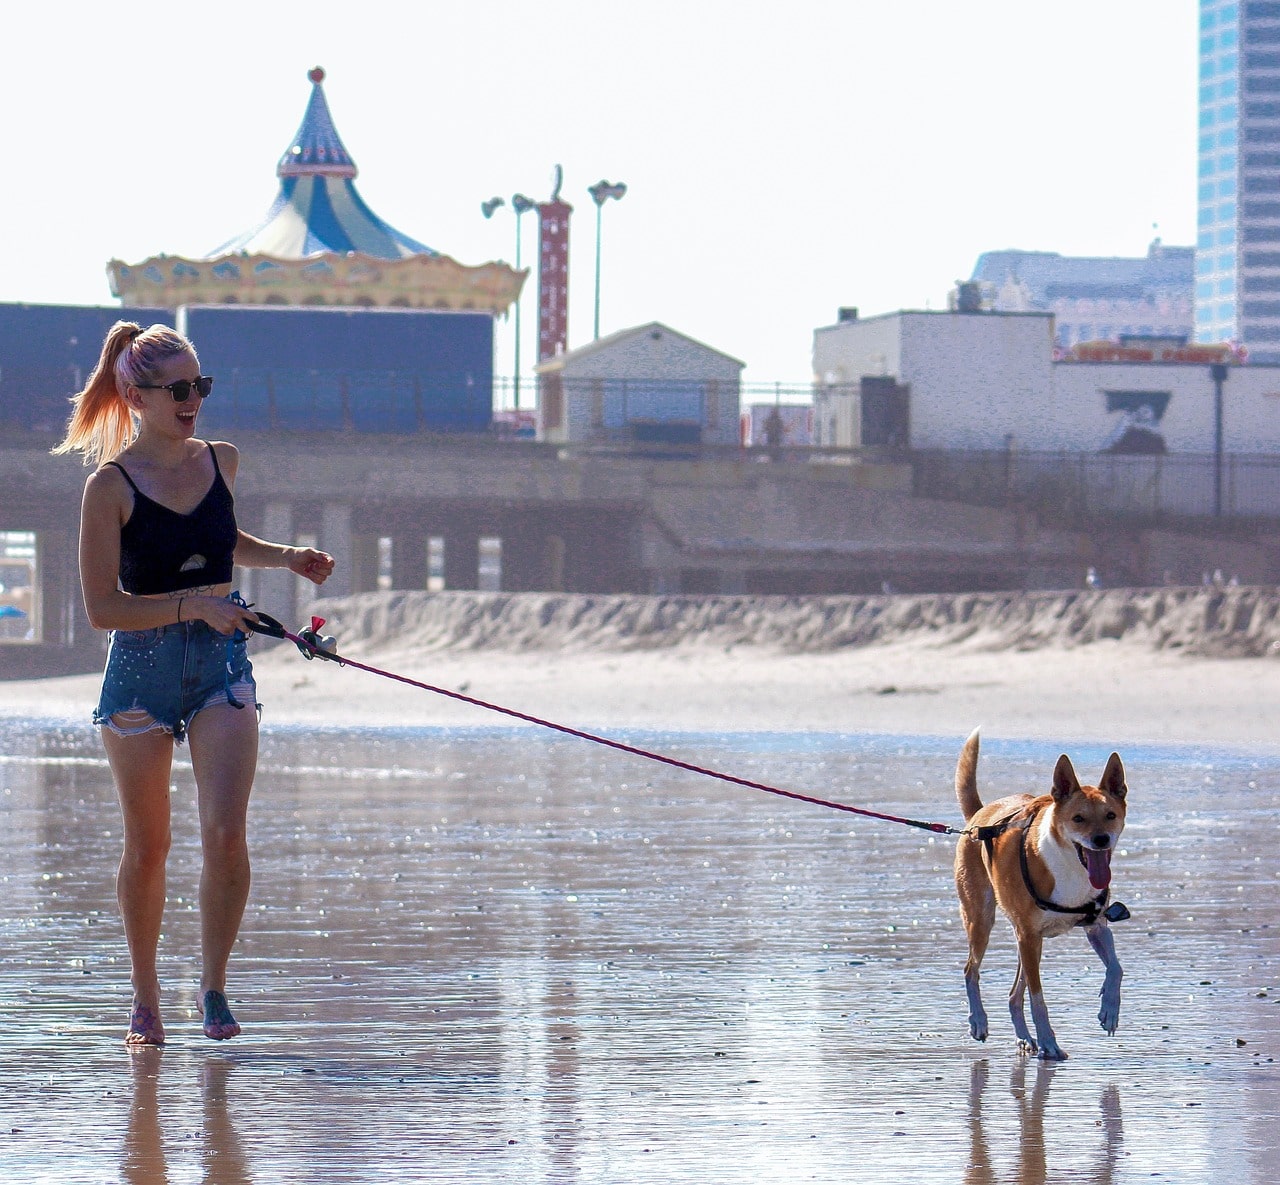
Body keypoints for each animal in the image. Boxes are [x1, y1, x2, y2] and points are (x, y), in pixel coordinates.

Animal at [952, 726, 1131, 1064]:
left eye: (1111, 815)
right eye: (1078, 819)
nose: (1101, 840)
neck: (1070, 866)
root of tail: (978, 817)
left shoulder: (1096, 926)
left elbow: (1116, 967)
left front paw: (1109, 1011)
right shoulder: (1029, 935)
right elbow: (1038, 999)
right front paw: (1050, 1042)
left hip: (1027, 942)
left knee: (1013, 995)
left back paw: (1024, 1037)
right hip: (985, 920)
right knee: (971, 970)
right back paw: (978, 1021)